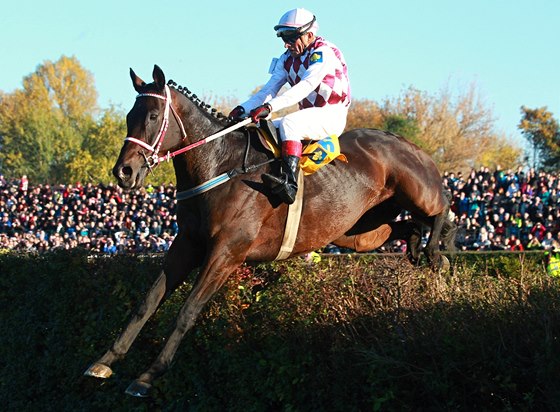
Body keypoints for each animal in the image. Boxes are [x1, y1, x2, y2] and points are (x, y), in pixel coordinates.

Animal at [85, 66, 458, 398]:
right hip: (358, 231)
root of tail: (403, 140)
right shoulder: (187, 244)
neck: (219, 166)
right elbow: (146, 303)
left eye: (152, 116)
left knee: (443, 208)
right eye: (130, 115)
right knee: (406, 226)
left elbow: (186, 312)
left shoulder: (226, 253)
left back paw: (438, 252)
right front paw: (104, 360)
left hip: (416, 188)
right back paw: (422, 250)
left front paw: (148, 375)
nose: (124, 171)